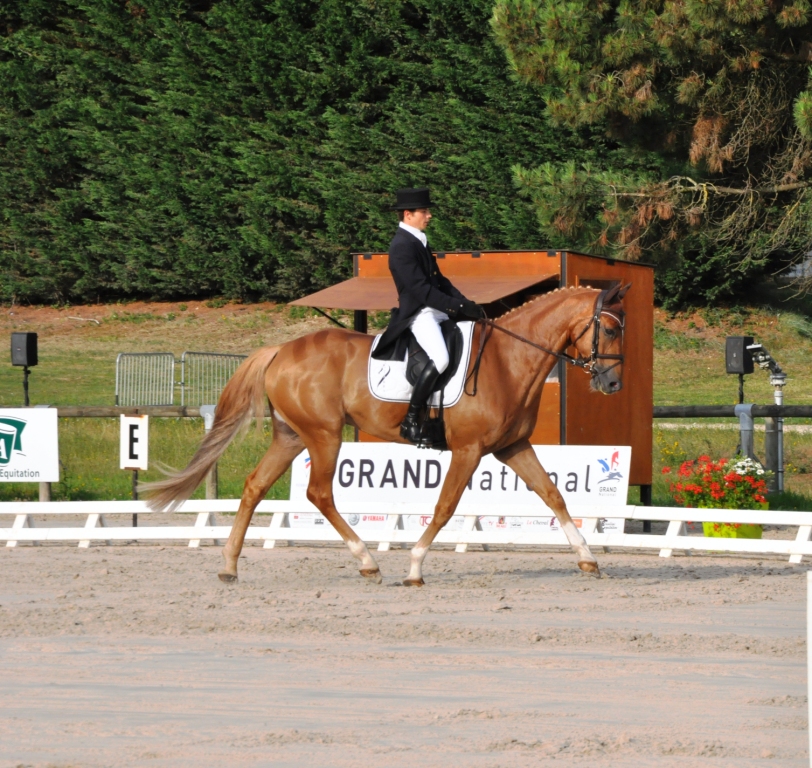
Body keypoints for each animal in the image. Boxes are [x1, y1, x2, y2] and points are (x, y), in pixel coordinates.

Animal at [144, 284, 628, 584]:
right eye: (608, 328)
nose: (612, 384)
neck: (508, 361)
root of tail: (281, 349)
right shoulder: (468, 450)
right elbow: (445, 507)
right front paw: (414, 567)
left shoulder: (512, 446)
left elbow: (553, 494)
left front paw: (588, 559)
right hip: (324, 435)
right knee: (319, 493)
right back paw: (368, 562)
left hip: (292, 436)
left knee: (255, 486)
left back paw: (229, 566)